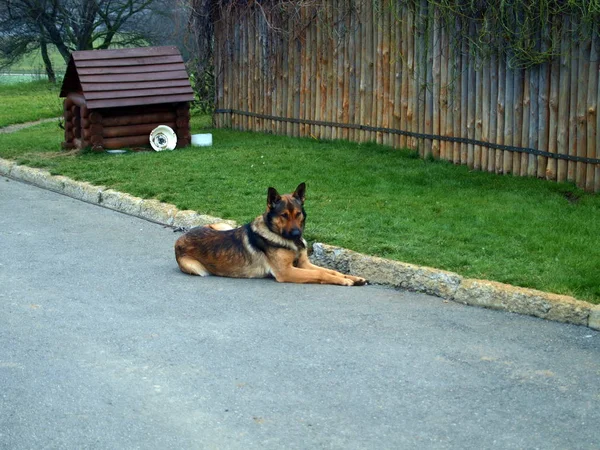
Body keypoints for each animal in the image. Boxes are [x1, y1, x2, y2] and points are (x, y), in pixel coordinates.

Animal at [175, 182, 366, 284]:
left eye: (298, 214)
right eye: (284, 215)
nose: (297, 234)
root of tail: (180, 238)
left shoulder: (303, 264)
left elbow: (332, 271)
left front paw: (353, 277)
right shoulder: (287, 272)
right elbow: (321, 274)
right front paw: (344, 281)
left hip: (221, 225)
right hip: (198, 269)